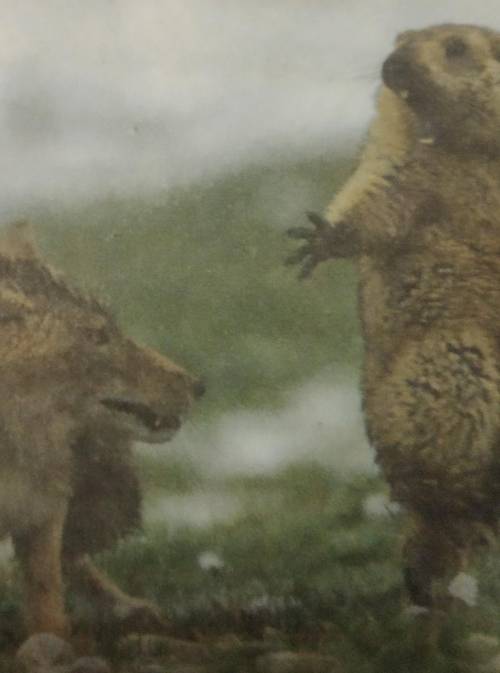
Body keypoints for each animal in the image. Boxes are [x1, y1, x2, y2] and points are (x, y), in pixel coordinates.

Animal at [0, 219, 203, 636]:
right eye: (98, 337)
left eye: (115, 329)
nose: (198, 385)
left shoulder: (42, 510)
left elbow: (48, 600)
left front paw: (54, 639)